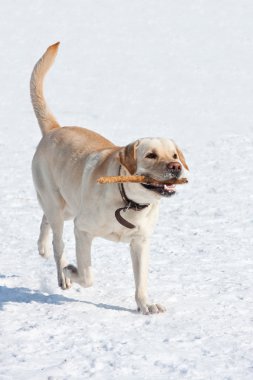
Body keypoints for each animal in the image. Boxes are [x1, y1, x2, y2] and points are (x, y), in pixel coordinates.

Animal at [30, 42, 189, 314]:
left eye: (175, 154)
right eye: (151, 155)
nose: (176, 166)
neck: (129, 201)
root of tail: (53, 129)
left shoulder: (140, 242)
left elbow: (141, 280)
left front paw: (145, 305)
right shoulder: (82, 229)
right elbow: (87, 275)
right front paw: (72, 271)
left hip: (68, 204)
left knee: (46, 221)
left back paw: (41, 247)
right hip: (59, 206)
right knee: (58, 244)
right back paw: (62, 274)